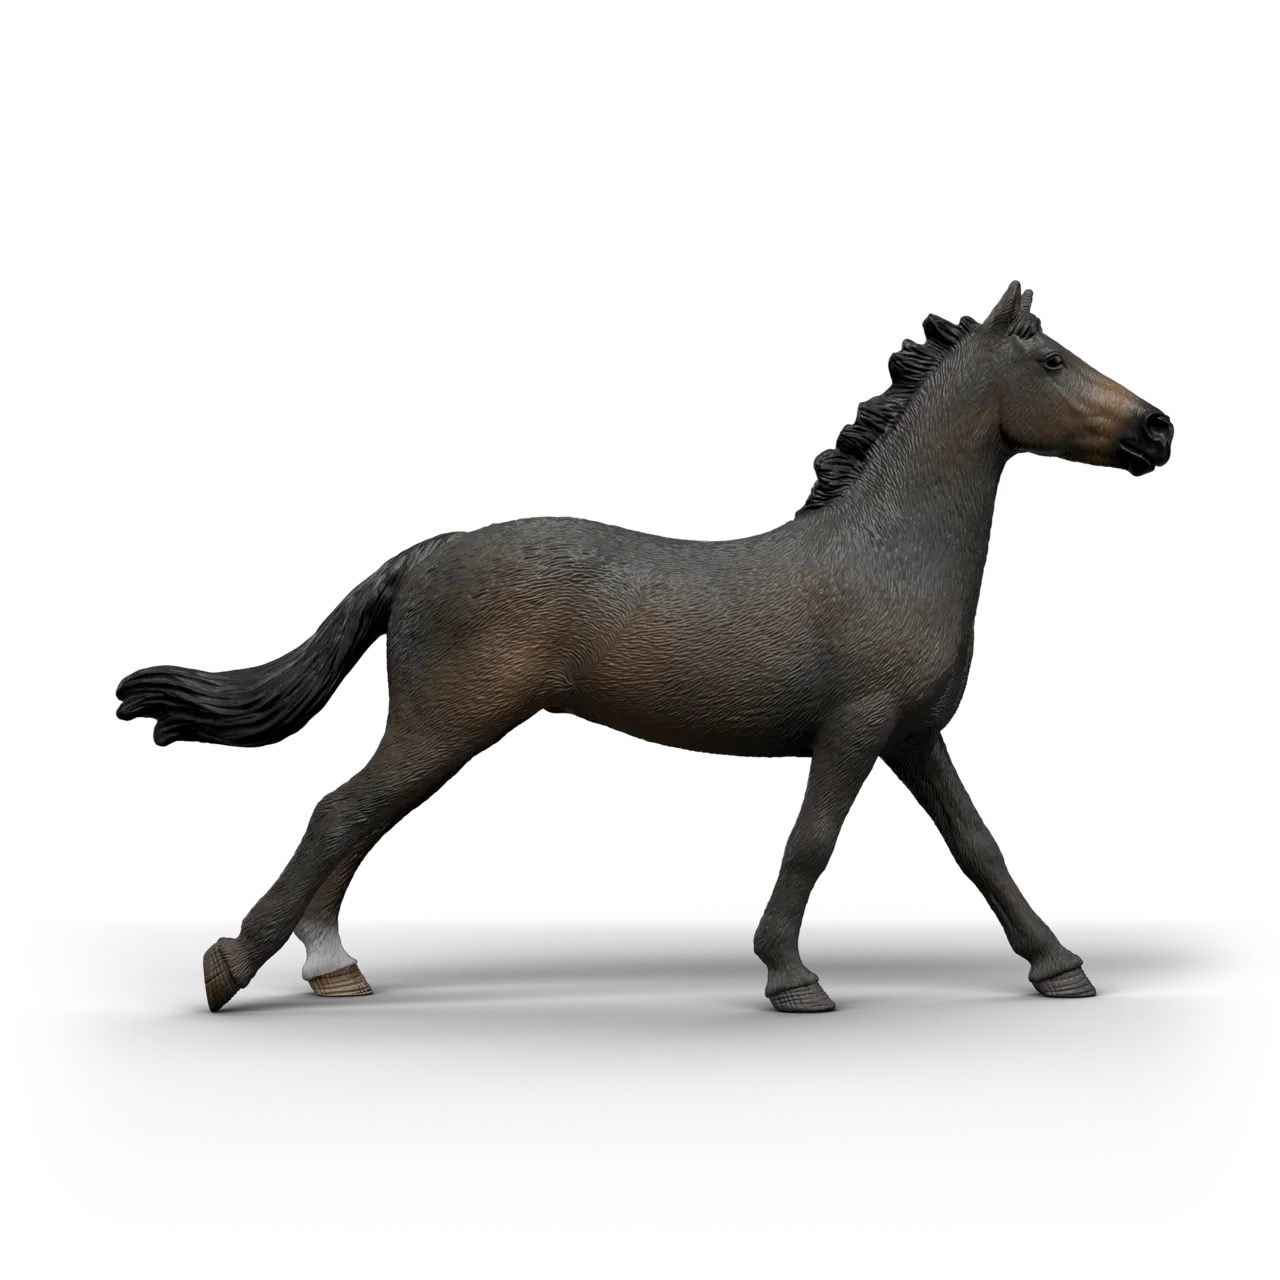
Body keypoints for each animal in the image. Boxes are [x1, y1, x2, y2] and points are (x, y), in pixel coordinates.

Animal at [114, 280, 1173, 1012]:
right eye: (1049, 361)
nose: (1157, 430)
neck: (887, 554)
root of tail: (422, 556)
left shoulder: (916, 738)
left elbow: (981, 849)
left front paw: (1059, 967)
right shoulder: (856, 730)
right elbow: (812, 844)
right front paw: (790, 977)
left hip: (442, 727)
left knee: (358, 818)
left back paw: (332, 968)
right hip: (448, 720)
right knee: (341, 813)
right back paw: (232, 965)